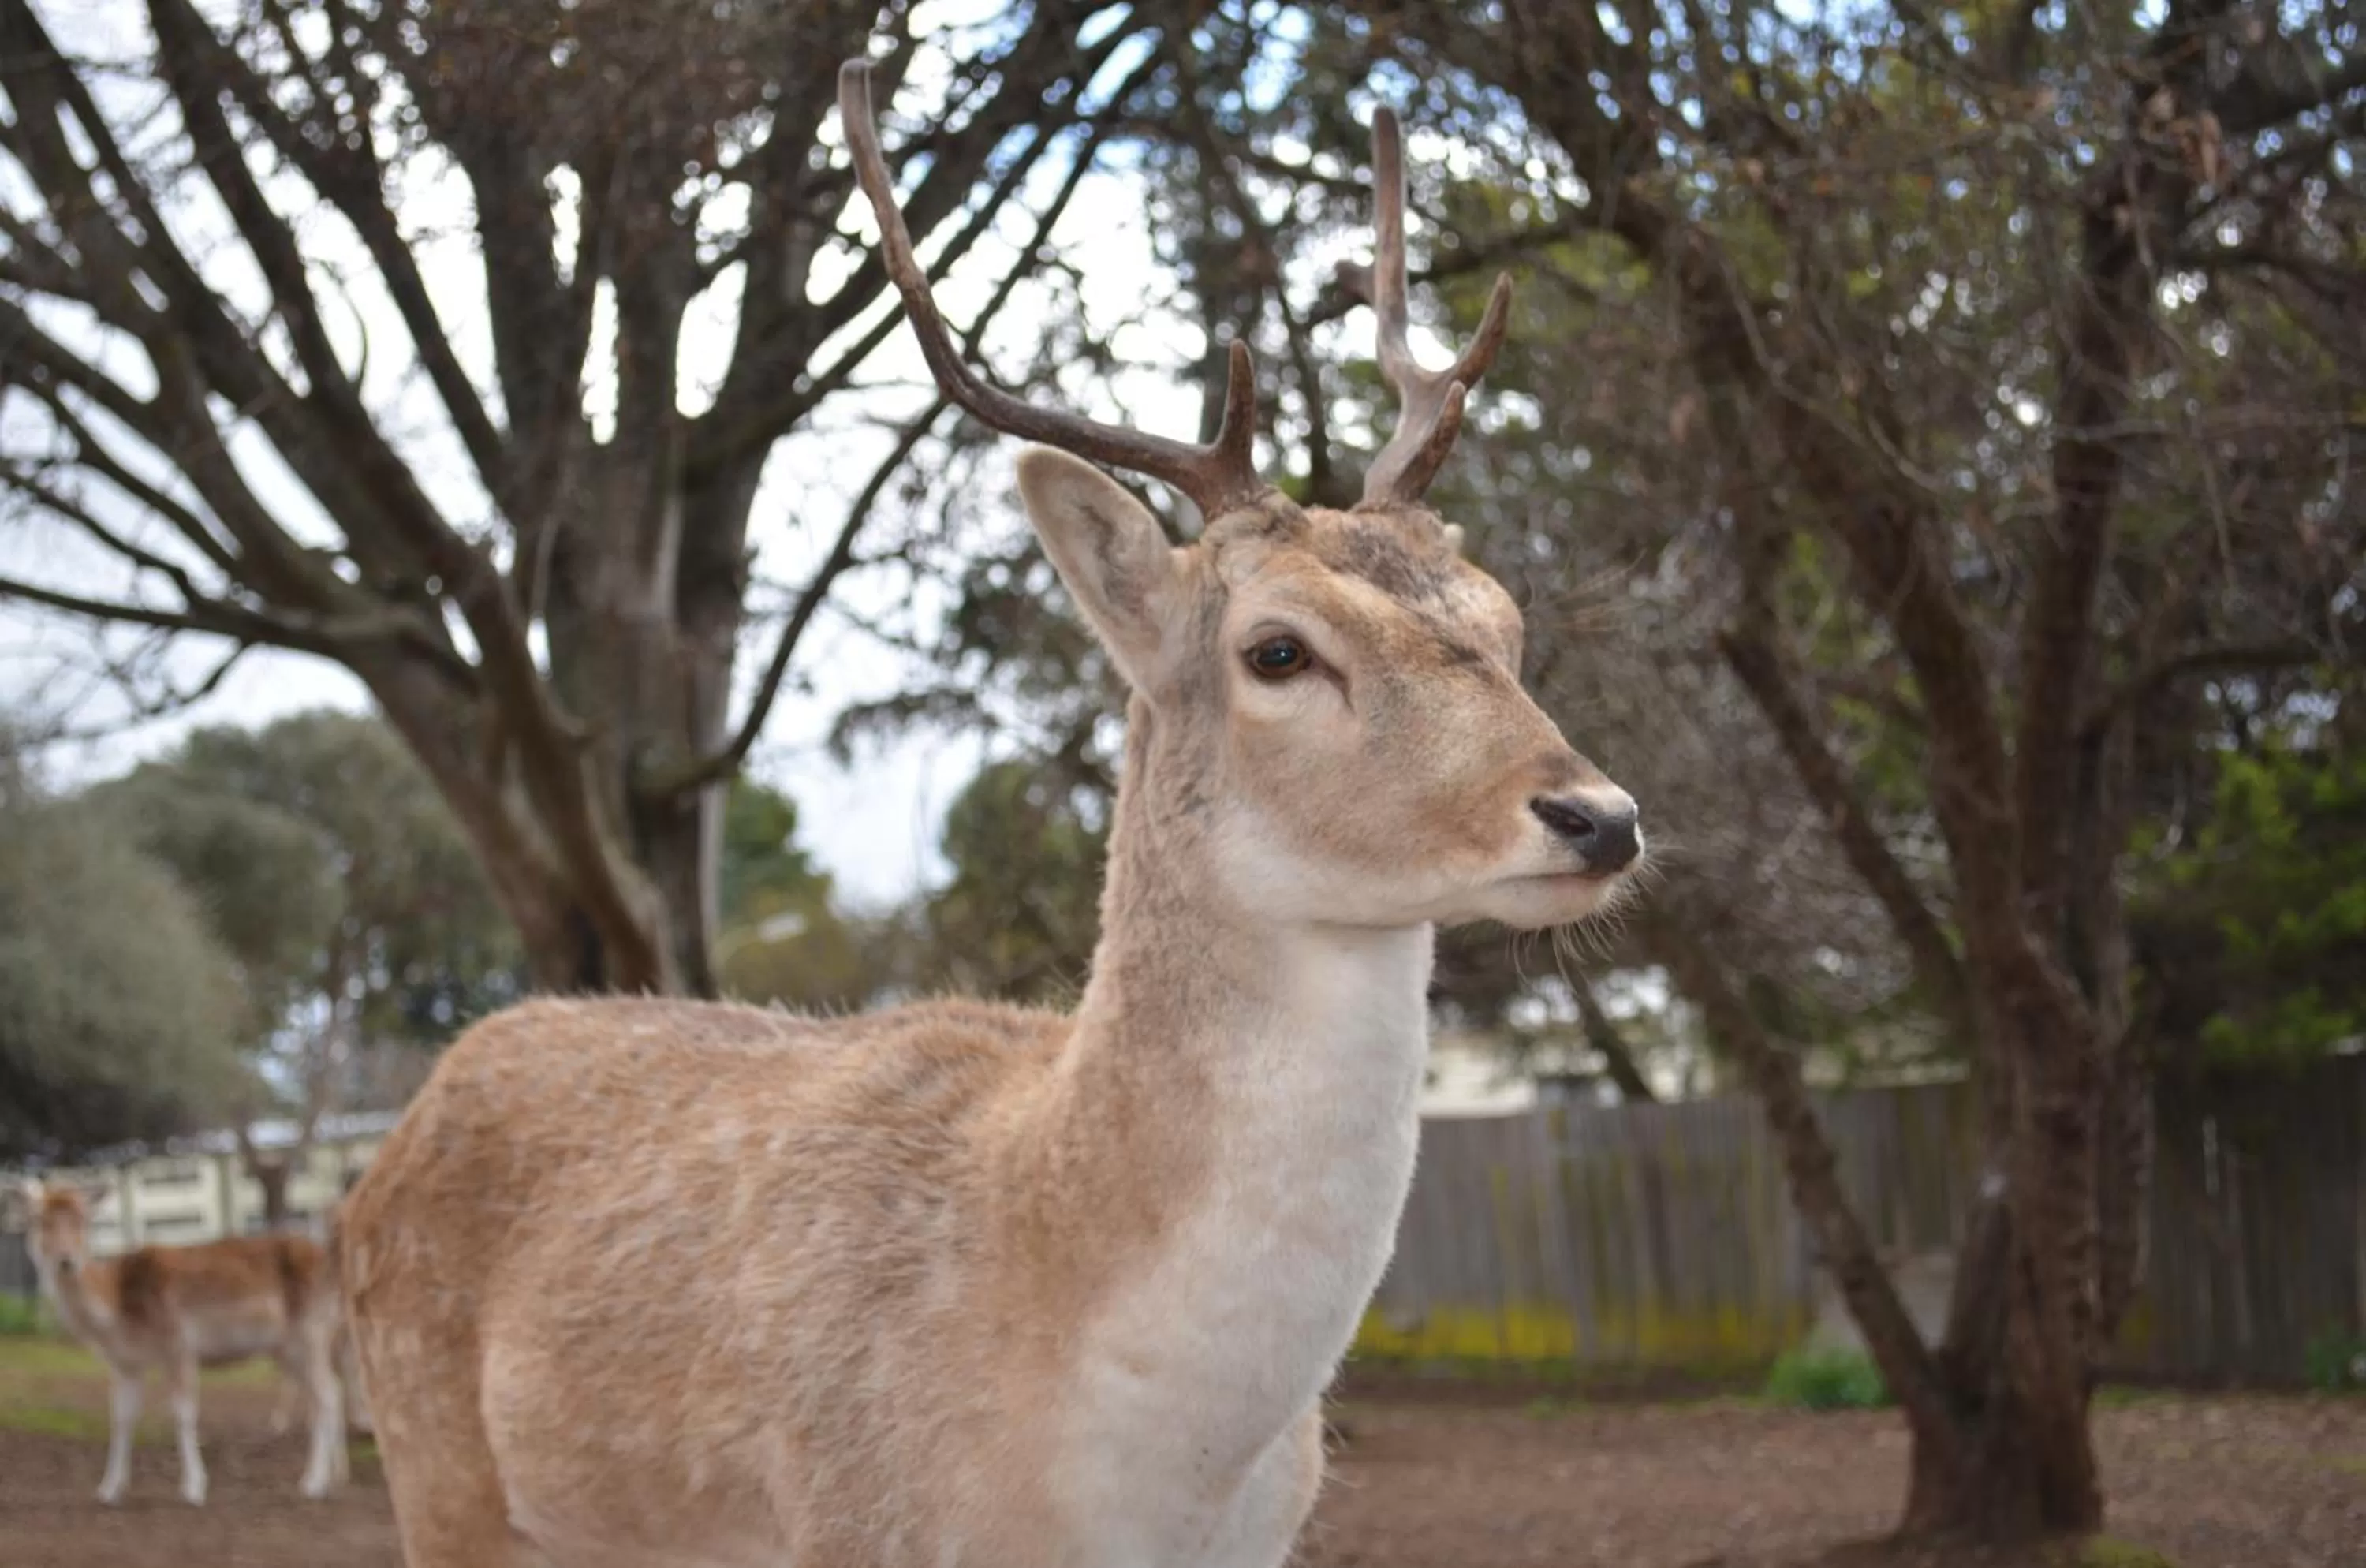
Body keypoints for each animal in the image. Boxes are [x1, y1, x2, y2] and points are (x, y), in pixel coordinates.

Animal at [14, 1178, 349, 1506]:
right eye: (40, 1221)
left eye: (81, 1220)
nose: (66, 1260)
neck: (117, 1311)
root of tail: (329, 1262)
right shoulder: (125, 1364)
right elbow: (121, 1419)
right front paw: (109, 1490)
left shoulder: (178, 1343)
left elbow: (182, 1414)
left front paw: (193, 1489)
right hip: (287, 1348)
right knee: (326, 1394)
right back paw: (333, 1480)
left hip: (310, 1331)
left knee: (328, 1396)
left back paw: (313, 1483)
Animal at [335, 60, 1644, 1568]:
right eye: (1277, 649)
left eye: (1505, 620)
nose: (1600, 815)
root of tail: (385, 1154)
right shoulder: (853, 1523)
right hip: (433, 1470)